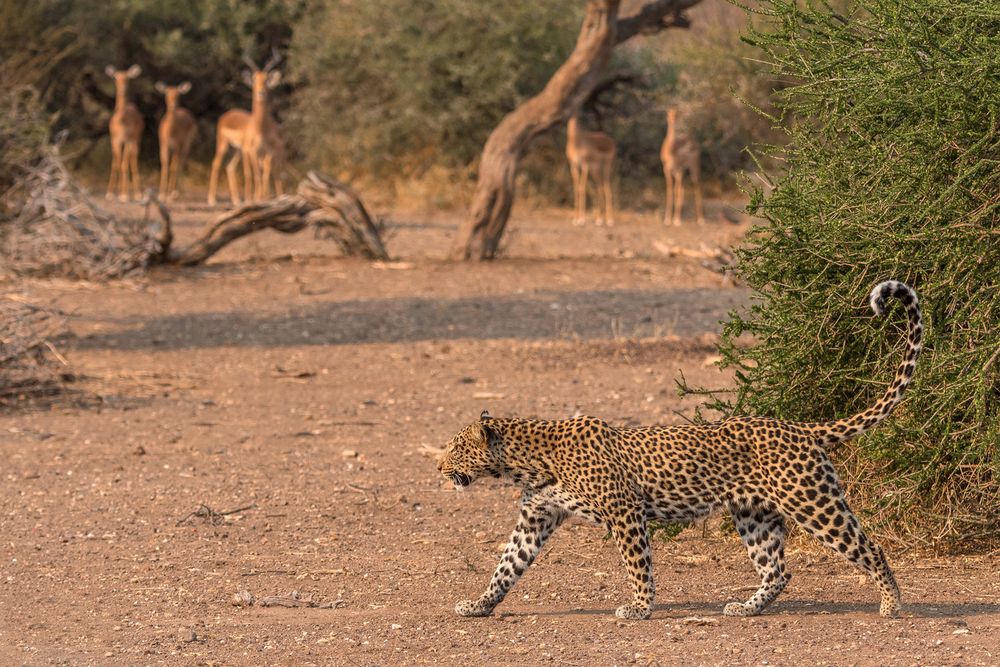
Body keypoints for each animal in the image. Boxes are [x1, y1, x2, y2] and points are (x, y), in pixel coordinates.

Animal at [104, 66, 144, 205]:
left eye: (127, 77)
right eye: (116, 77)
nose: (123, 89)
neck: (122, 121)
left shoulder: (127, 140)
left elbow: (124, 164)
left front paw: (124, 196)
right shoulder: (115, 140)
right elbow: (116, 163)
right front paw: (110, 194)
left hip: (136, 140)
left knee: (133, 159)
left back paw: (138, 194)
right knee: (119, 160)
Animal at [207, 50, 284, 206]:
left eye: (266, 79)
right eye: (255, 78)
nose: (261, 92)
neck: (260, 128)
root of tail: (227, 114)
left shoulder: (267, 152)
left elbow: (264, 174)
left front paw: (263, 198)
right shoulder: (252, 150)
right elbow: (255, 174)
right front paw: (256, 199)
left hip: (237, 150)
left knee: (230, 167)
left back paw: (237, 200)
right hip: (224, 145)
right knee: (216, 163)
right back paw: (212, 199)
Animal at [438, 280, 920, 620]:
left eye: (456, 448)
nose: (438, 467)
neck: (527, 462)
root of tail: (798, 428)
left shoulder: (625, 511)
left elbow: (638, 564)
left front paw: (639, 607)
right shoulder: (535, 517)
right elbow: (506, 566)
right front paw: (479, 605)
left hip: (814, 503)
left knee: (871, 548)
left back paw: (891, 604)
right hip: (755, 516)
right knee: (778, 571)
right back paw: (746, 608)